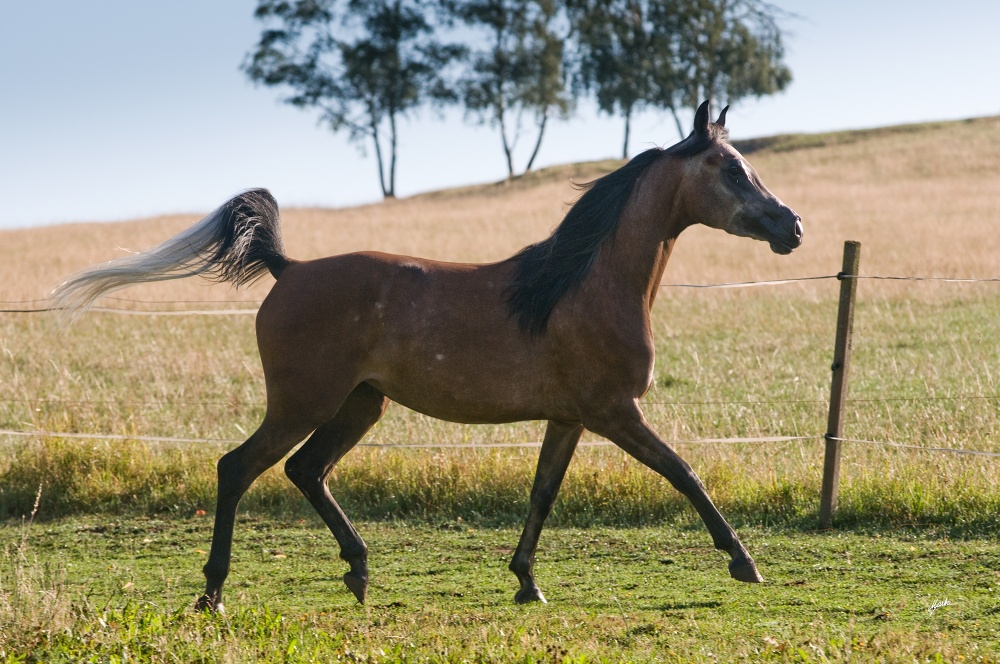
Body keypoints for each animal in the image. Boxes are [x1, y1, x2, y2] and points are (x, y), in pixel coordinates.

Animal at [52, 101, 804, 616]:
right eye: (730, 169)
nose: (791, 226)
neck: (582, 286)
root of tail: (286, 269)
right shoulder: (615, 412)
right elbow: (685, 474)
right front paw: (744, 563)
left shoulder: (570, 418)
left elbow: (543, 493)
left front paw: (526, 581)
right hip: (304, 402)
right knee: (238, 468)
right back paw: (213, 593)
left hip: (360, 404)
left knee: (305, 470)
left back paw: (358, 572)